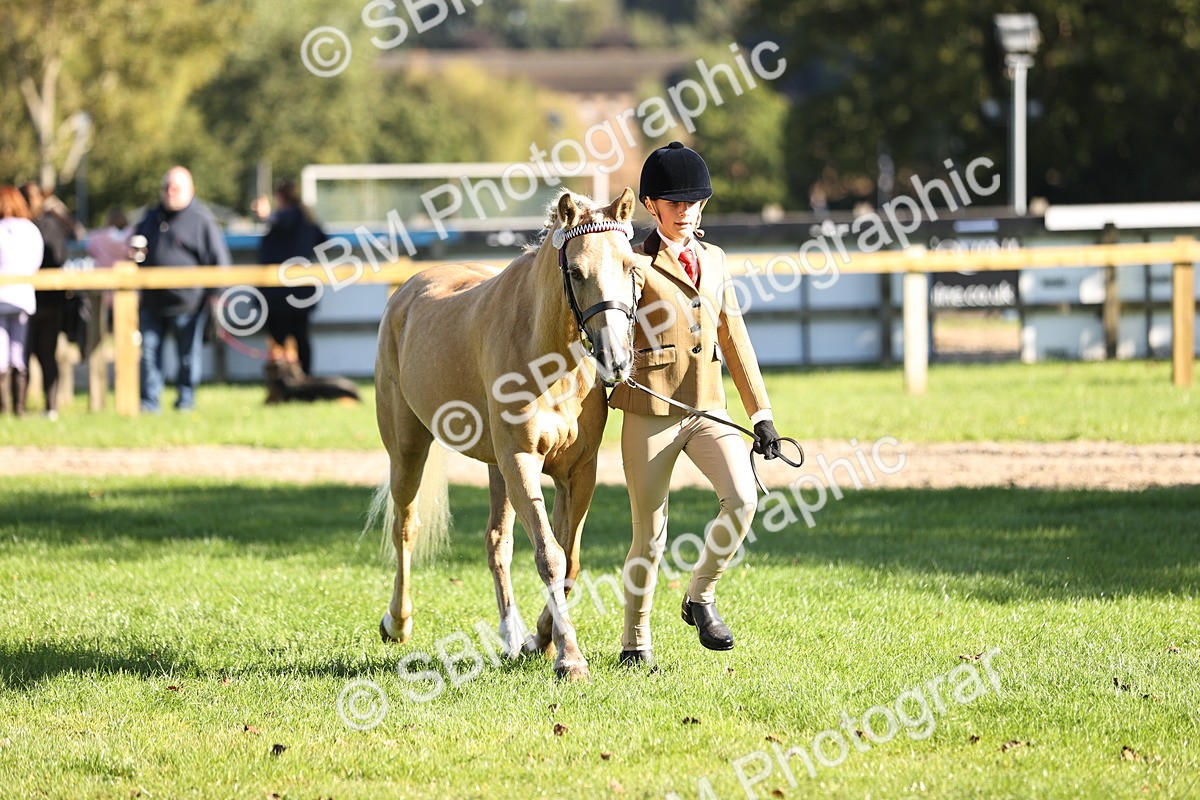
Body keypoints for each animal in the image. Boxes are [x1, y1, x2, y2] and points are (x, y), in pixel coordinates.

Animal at [369, 188, 645, 681]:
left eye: (630, 266)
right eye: (576, 271)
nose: (615, 359)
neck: (550, 360)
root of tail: (408, 291)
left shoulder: (578, 473)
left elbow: (569, 559)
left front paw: (542, 640)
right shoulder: (521, 461)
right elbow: (551, 557)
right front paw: (569, 658)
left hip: (495, 468)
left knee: (497, 541)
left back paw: (511, 634)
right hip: (408, 450)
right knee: (406, 526)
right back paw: (397, 622)